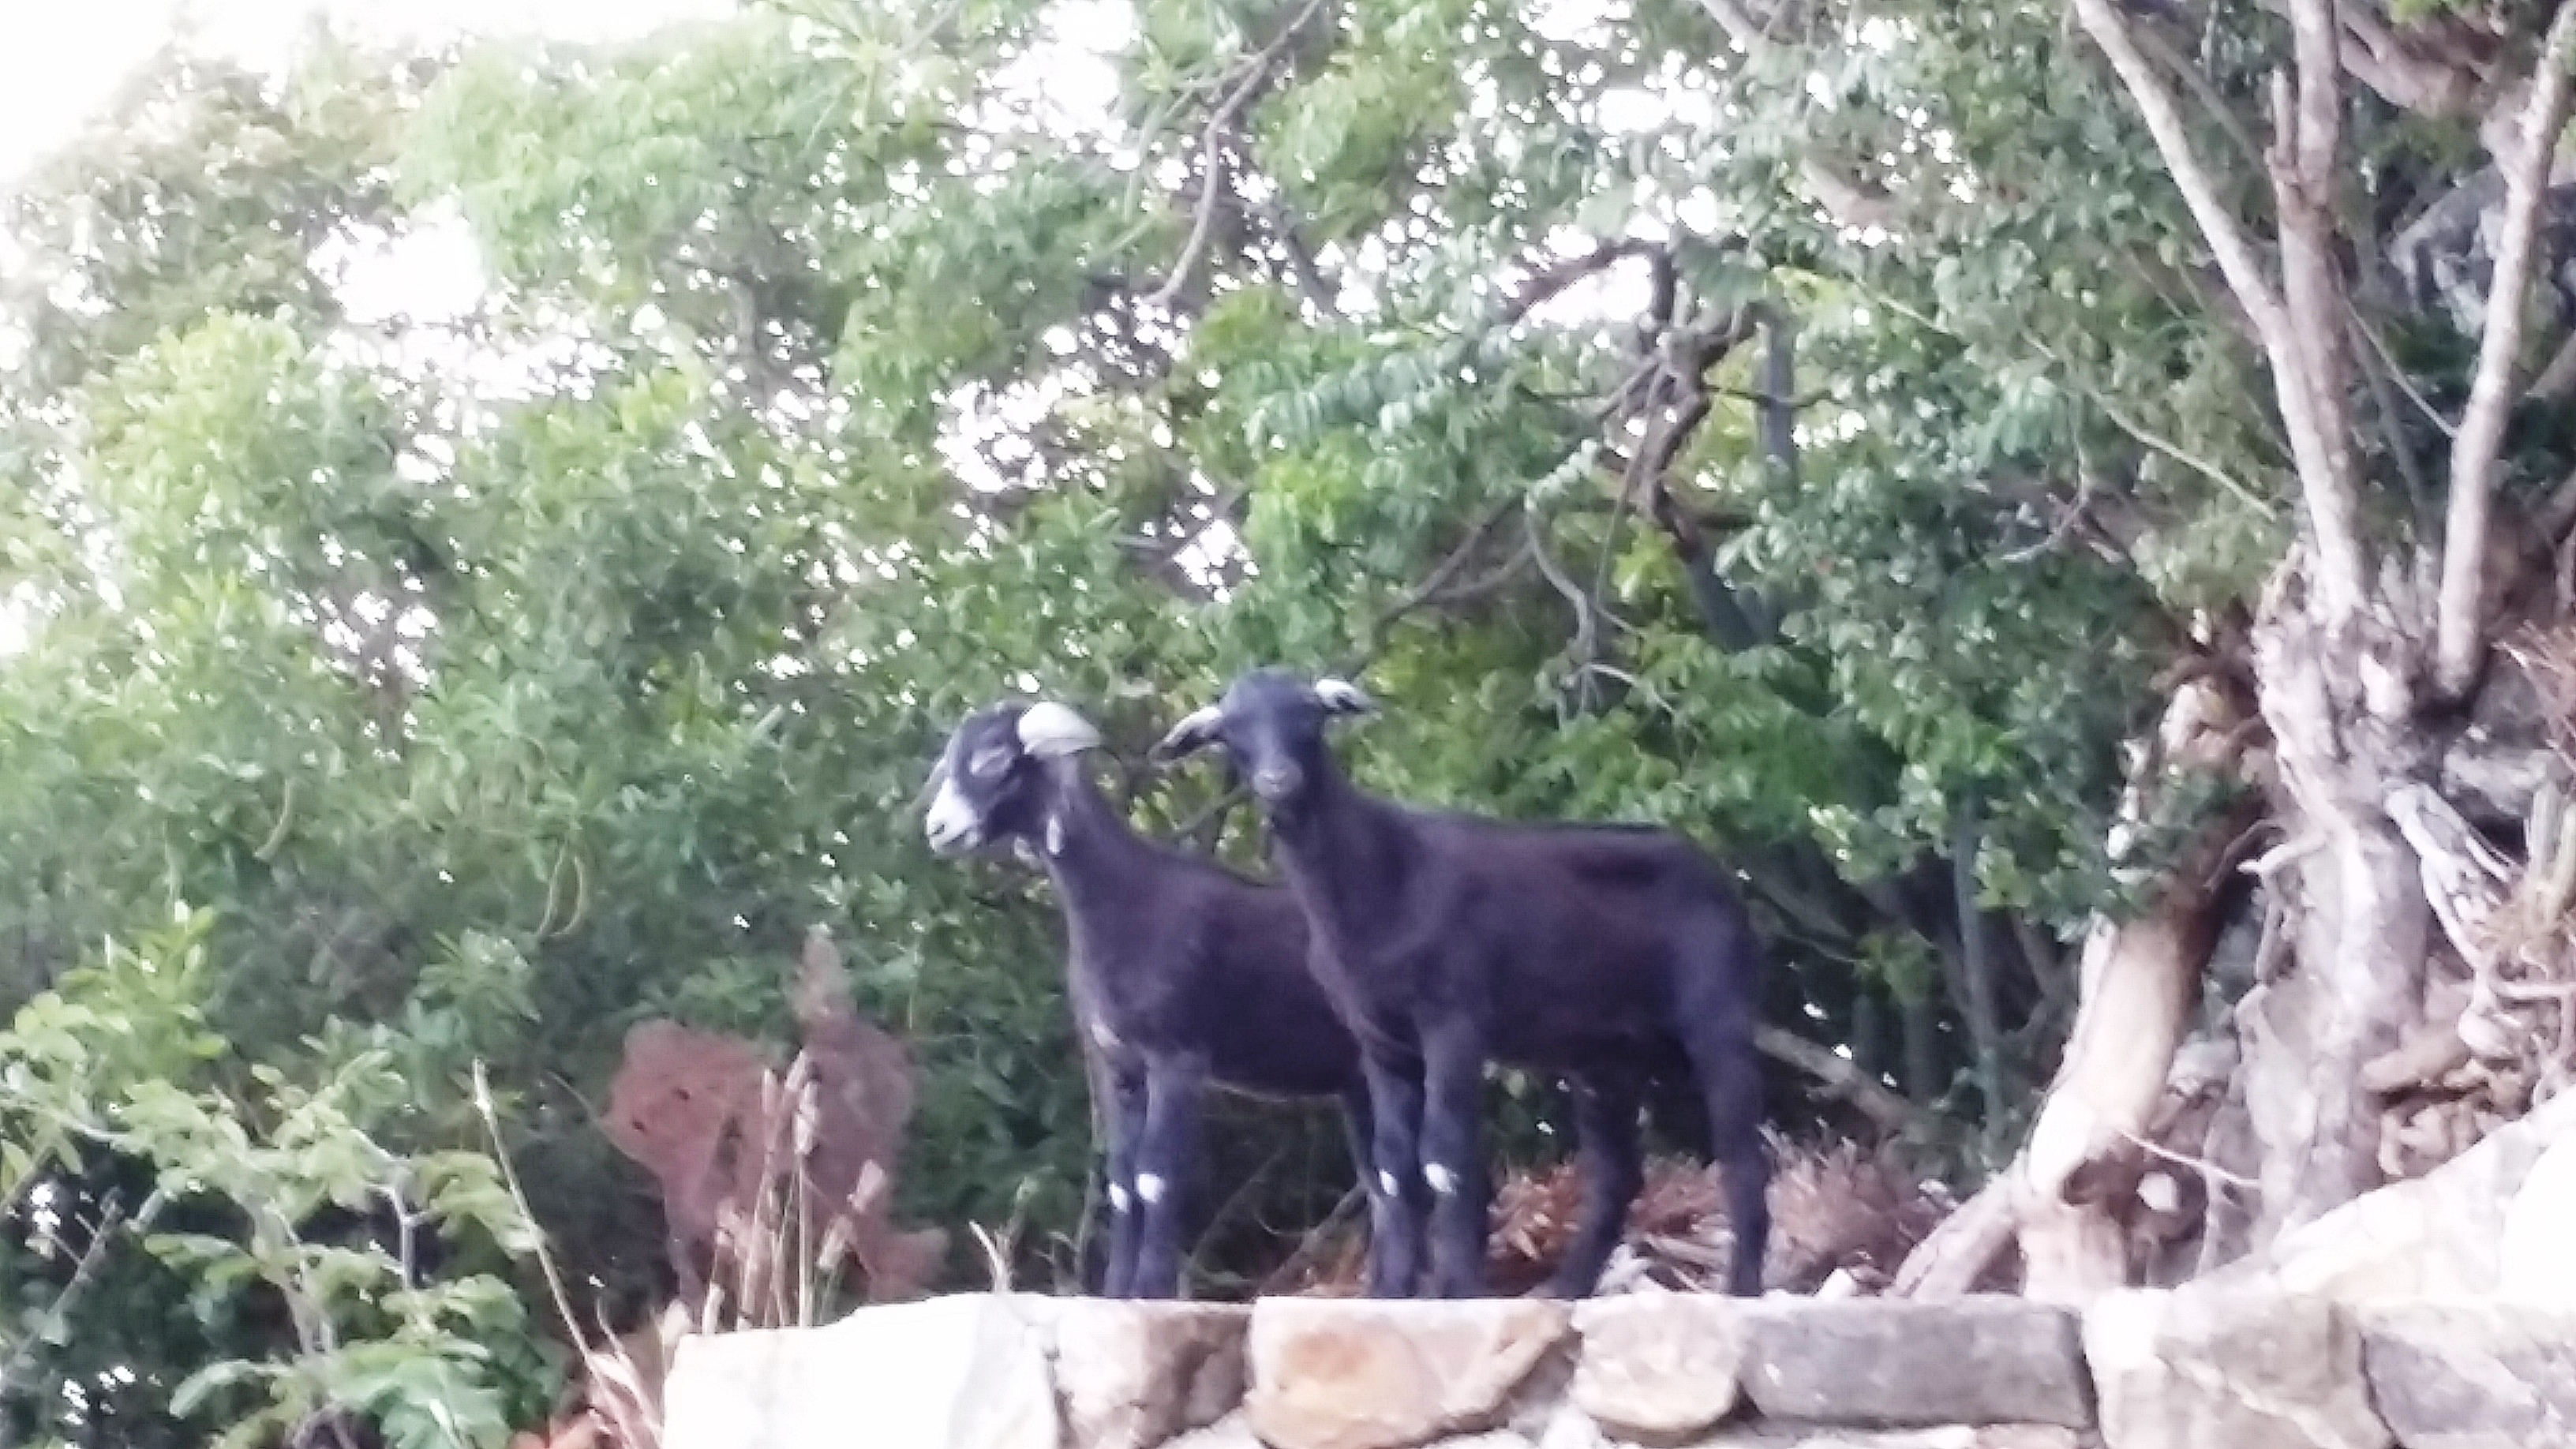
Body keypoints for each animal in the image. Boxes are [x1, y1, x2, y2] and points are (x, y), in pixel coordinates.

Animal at [924, 698, 1421, 1298]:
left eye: (994, 756)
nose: (938, 828)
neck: (1128, 900)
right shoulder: (1119, 1066)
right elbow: (1121, 1182)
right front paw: (1116, 1293)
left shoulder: (1177, 1057)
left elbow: (1157, 1177)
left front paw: (1149, 1291)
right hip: (1357, 1081)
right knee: (1381, 1184)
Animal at [1153, 668, 1771, 1298]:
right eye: (1231, 731)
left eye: (1308, 714)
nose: (1279, 779)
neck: (1381, 876)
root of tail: (1718, 876)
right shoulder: (1380, 1043)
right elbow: (1395, 1168)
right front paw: (1393, 1295)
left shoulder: (1453, 1021)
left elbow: (1445, 1158)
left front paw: (1457, 1289)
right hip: (1605, 1057)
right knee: (1617, 1175)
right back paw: (1564, 1290)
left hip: (1716, 1011)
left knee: (1742, 1153)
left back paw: (1739, 1289)